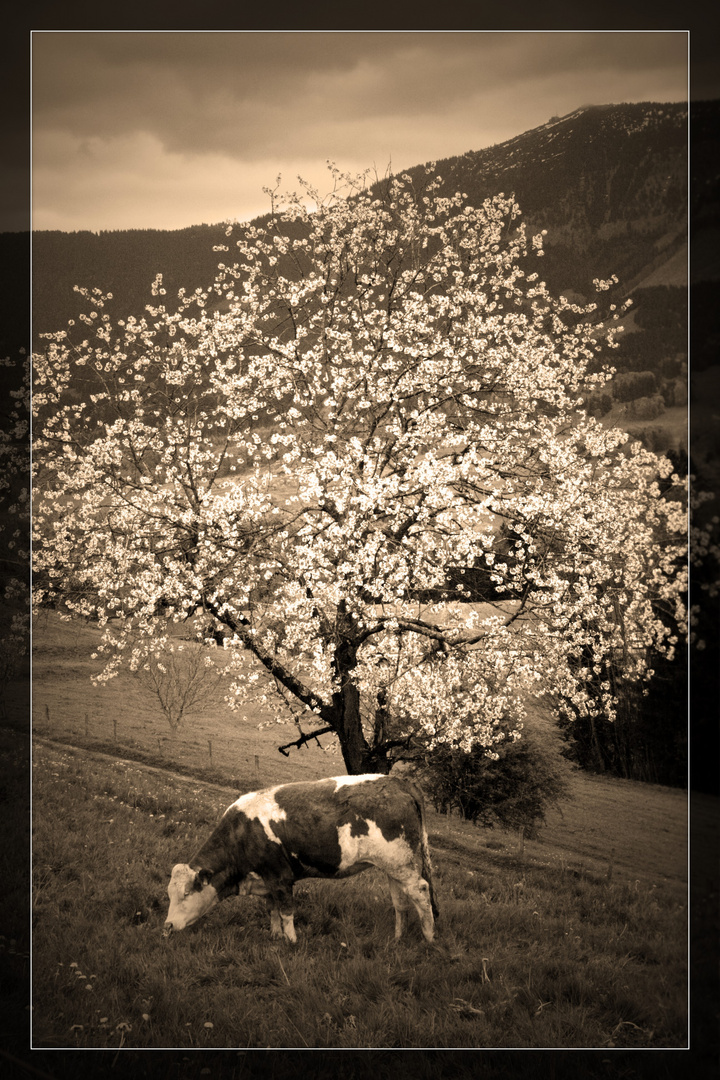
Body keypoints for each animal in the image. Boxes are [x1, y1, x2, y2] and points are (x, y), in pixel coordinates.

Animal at [162, 773, 440, 941]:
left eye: (186, 893)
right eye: (169, 894)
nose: (167, 926)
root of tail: (397, 781)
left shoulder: (280, 877)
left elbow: (286, 912)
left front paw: (291, 941)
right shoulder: (267, 881)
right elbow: (272, 910)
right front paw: (275, 936)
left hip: (402, 864)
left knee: (420, 891)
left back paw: (428, 938)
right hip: (394, 866)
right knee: (400, 901)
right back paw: (398, 938)